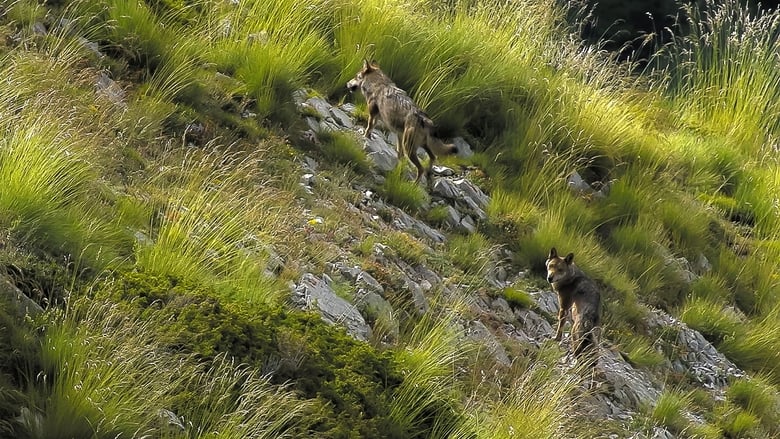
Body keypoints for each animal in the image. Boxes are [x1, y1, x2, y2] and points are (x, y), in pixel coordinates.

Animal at [346, 58, 458, 186]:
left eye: (356, 76)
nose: (347, 83)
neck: (378, 84)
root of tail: (425, 120)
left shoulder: (372, 115)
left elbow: (369, 127)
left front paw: (365, 137)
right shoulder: (398, 134)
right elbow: (399, 154)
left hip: (409, 149)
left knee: (421, 168)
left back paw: (414, 185)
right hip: (422, 145)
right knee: (432, 158)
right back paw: (429, 175)